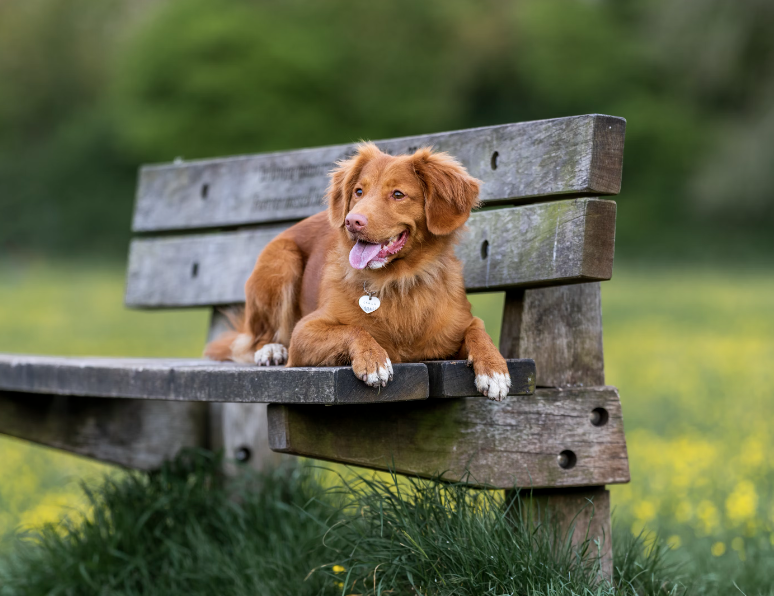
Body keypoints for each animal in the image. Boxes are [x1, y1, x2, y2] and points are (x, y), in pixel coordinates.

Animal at [205, 142, 516, 398]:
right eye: (358, 191)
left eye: (398, 194)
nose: (352, 221)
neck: (397, 281)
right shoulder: (304, 332)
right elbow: (353, 329)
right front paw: (373, 359)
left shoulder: (459, 323)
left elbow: (478, 329)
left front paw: (494, 369)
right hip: (280, 262)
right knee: (254, 339)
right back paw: (270, 349)